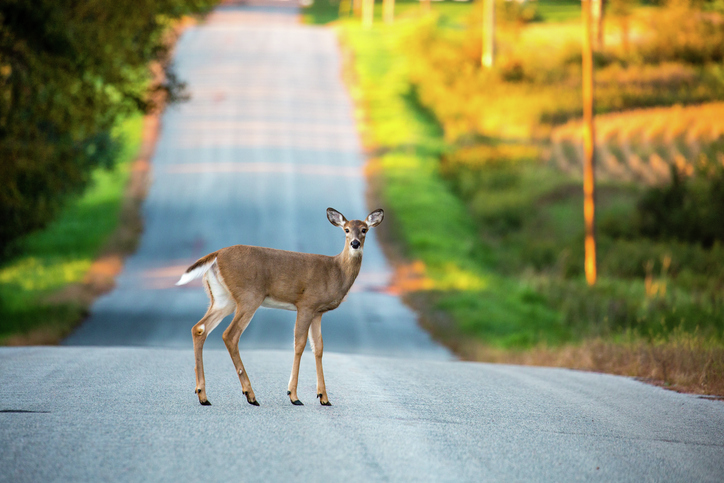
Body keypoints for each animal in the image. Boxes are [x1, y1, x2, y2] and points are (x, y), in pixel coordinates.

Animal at [176, 208, 384, 408]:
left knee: (199, 328)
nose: (355, 243)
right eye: (346, 230)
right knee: (230, 335)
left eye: (364, 229)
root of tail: (216, 255)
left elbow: (318, 347)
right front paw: (294, 396)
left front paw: (324, 398)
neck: (336, 272)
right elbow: (299, 344)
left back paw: (203, 396)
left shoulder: (318, 312)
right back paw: (250, 395)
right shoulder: (306, 304)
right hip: (249, 296)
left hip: (222, 298)